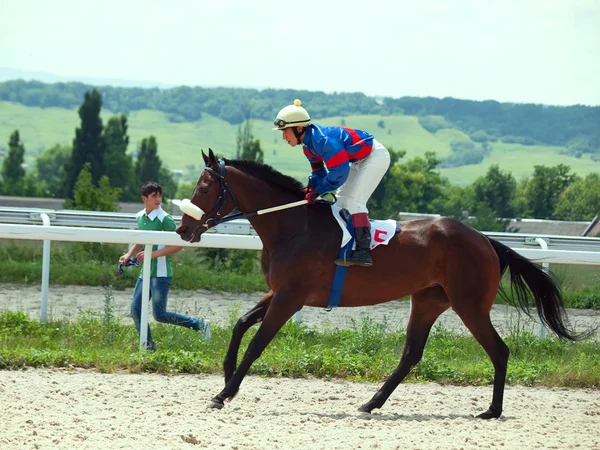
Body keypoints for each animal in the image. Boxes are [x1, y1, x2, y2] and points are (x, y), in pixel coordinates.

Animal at [175, 149, 584, 420]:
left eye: (204, 188)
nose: (183, 229)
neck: (291, 226)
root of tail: (486, 240)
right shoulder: (279, 292)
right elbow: (241, 324)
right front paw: (227, 376)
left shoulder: (291, 297)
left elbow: (257, 343)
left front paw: (224, 392)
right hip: (428, 300)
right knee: (411, 354)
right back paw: (370, 403)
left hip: (469, 304)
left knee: (498, 350)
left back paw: (491, 411)